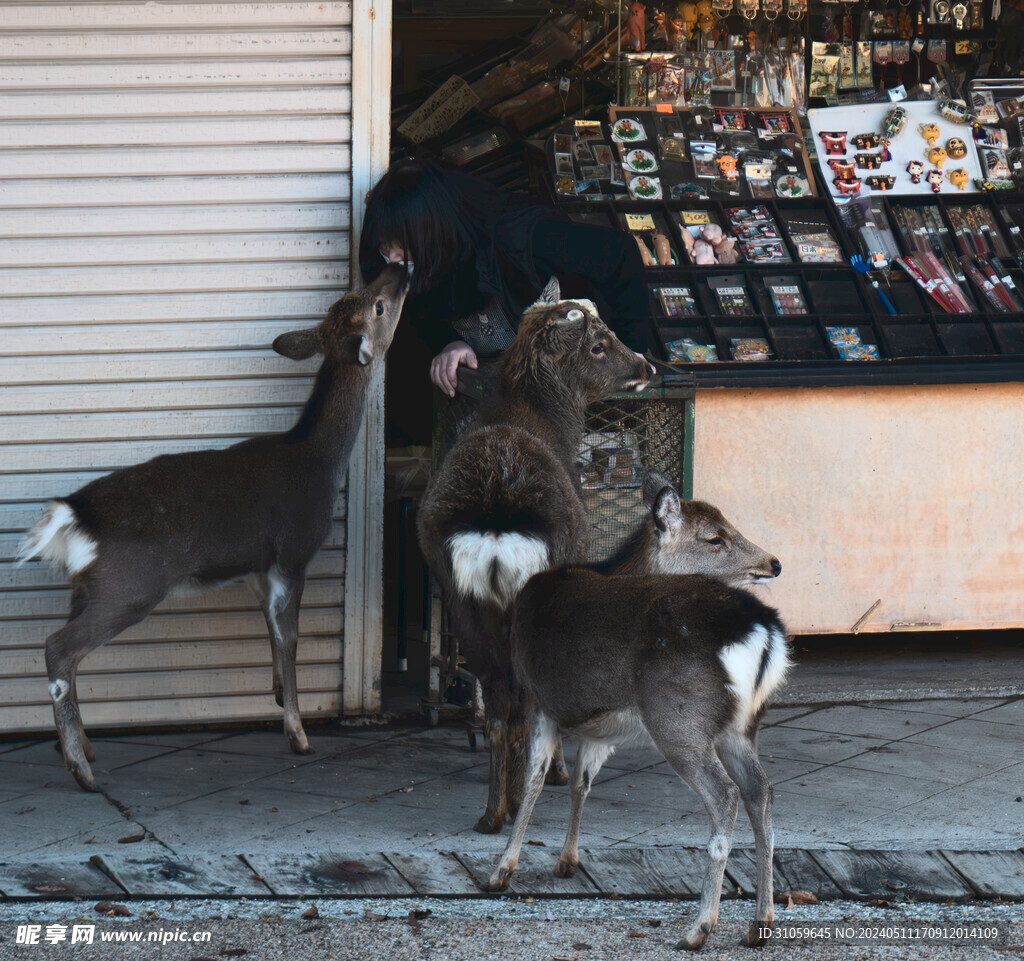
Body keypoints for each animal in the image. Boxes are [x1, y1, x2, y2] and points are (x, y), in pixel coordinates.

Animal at [16, 264, 410, 792]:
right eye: (379, 306)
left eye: (360, 296)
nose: (399, 268)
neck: (319, 462)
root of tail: (73, 513)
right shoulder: (294, 553)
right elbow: (291, 638)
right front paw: (299, 735)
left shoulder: (259, 569)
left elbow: (272, 633)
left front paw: (279, 695)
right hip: (129, 586)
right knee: (58, 647)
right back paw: (82, 770)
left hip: (87, 587)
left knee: (68, 648)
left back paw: (83, 749)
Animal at [416, 289, 651, 834]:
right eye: (599, 345)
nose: (646, 365)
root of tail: (498, 533)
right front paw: (559, 772)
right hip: (534, 596)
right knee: (525, 702)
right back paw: (525, 794)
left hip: (465, 602)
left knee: (497, 704)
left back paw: (490, 814)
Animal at [488, 485, 788, 952]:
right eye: (715, 537)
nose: (773, 563)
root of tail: (765, 631)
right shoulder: (597, 725)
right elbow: (580, 782)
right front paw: (566, 860)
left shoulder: (537, 697)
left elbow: (534, 781)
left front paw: (502, 870)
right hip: (740, 727)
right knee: (762, 791)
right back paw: (760, 924)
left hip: (677, 719)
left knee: (725, 795)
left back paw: (698, 928)